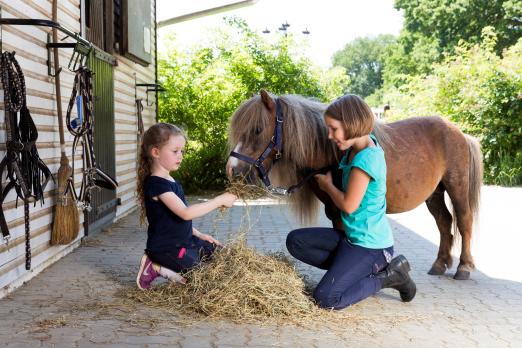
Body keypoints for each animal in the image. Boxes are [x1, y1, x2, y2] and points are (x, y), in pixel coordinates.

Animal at [225, 90, 482, 280]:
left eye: (257, 129)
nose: (232, 170)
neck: (329, 150)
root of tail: (460, 133)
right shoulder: (333, 209)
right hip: (434, 194)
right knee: (444, 222)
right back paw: (440, 264)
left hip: (456, 187)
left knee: (464, 221)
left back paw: (464, 267)